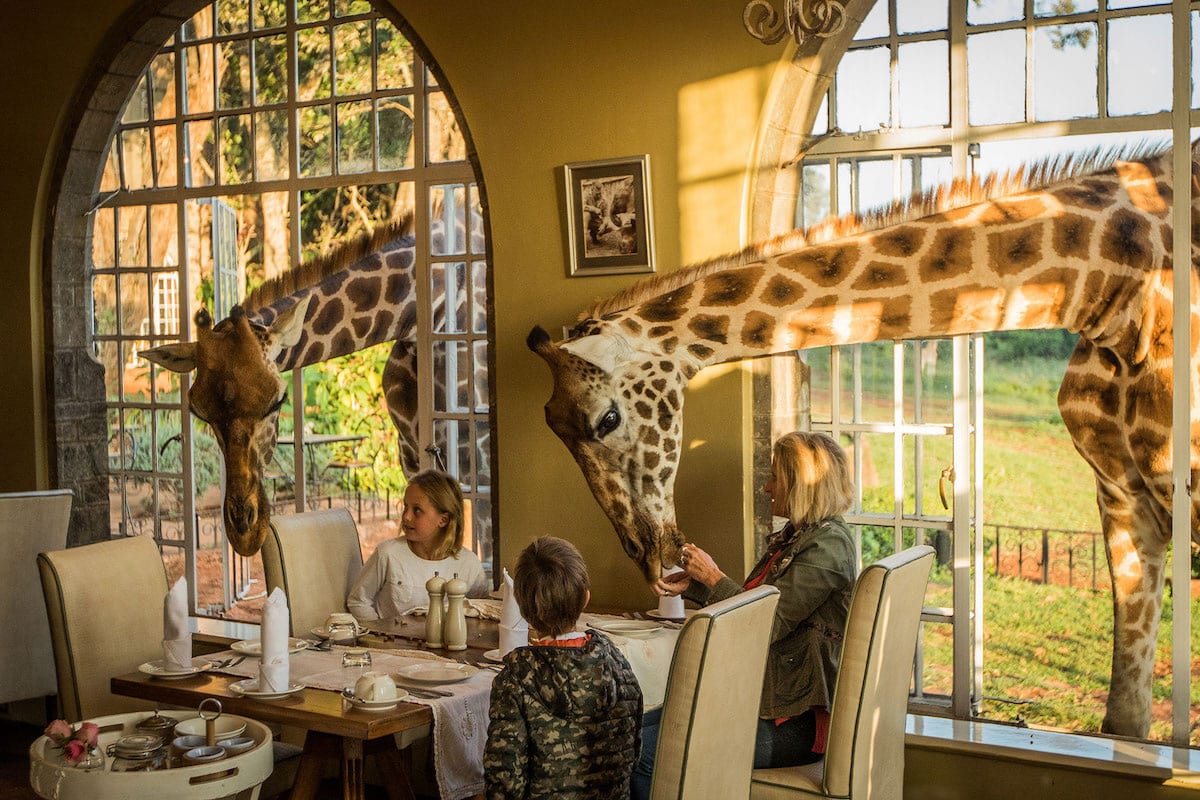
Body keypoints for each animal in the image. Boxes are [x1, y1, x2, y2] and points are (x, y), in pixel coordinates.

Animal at [140, 213, 482, 557]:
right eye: (199, 413)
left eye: (278, 400)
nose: (244, 532)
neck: (421, 311)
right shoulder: (413, 460)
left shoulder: (475, 463)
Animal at [528, 141, 1200, 739]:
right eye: (554, 431)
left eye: (606, 420)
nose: (653, 556)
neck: (1107, 286)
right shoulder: (1123, 494)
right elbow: (1127, 718)